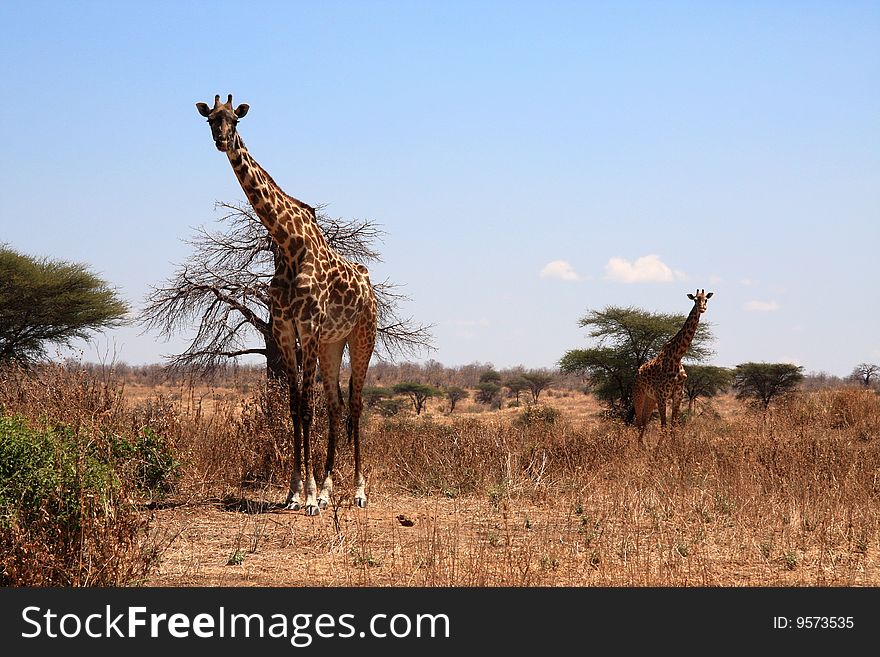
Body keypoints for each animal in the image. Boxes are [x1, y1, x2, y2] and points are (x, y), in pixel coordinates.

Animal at [196, 93, 378, 512]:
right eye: (211, 119)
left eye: (235, 120)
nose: (222, 140)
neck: (289, 245)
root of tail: (369, 285)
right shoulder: (282, 328)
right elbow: (295, 406)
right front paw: (296, 491)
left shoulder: (307, 328)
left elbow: (306, 408)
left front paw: (308, 496)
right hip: (332, 343)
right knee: (335, 404)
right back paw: (328, 489)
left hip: (362, 336)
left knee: (356, 404)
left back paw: (358, 491)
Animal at [628, 288, 712, 446]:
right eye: (695, 299)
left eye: (706, 299)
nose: (702, 308)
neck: (677, 357)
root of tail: (637, 373)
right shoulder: (662, 396)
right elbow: (664, 426)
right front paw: (659, 449)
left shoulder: (678, 395)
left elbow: (673, 426)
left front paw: (673, 448)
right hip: (639, 394)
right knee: (639, 423)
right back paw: (639, 447)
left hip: (650, 399)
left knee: (644, 422)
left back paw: (642, 446)